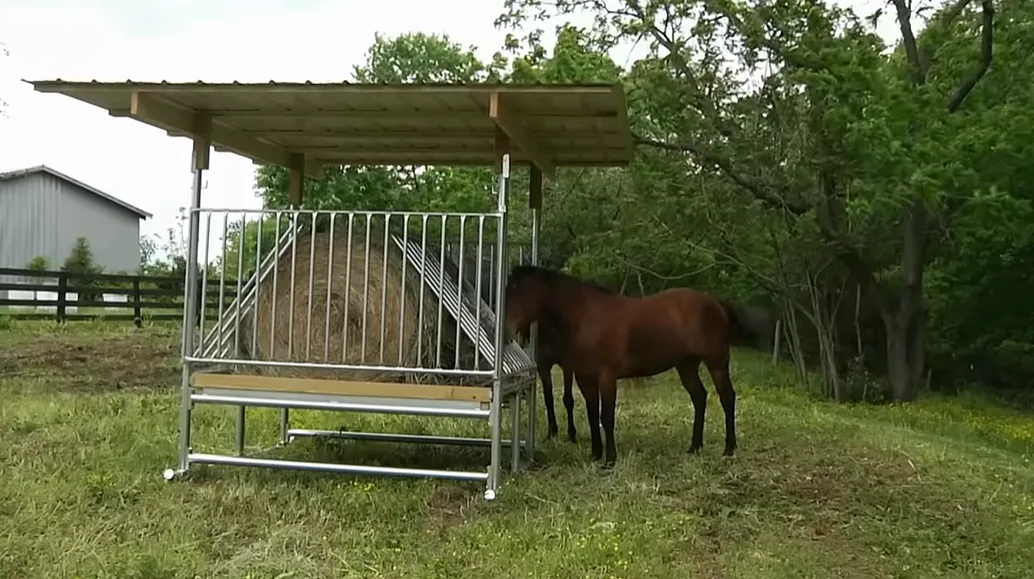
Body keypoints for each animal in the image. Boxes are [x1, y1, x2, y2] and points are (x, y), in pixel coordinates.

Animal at [503, 264, 749, 467]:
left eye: (520, 293)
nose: (505, 333)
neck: (584, 317)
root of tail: (716, 304)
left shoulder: (606, 377)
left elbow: (606, 417)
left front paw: (610, 459)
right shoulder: (585, 378)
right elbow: (592, 415)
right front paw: (595, 454)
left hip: (716, 364)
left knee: (727, 397)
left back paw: (729, 448)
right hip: (686, 366)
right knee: (699, 397)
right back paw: (694, 447)